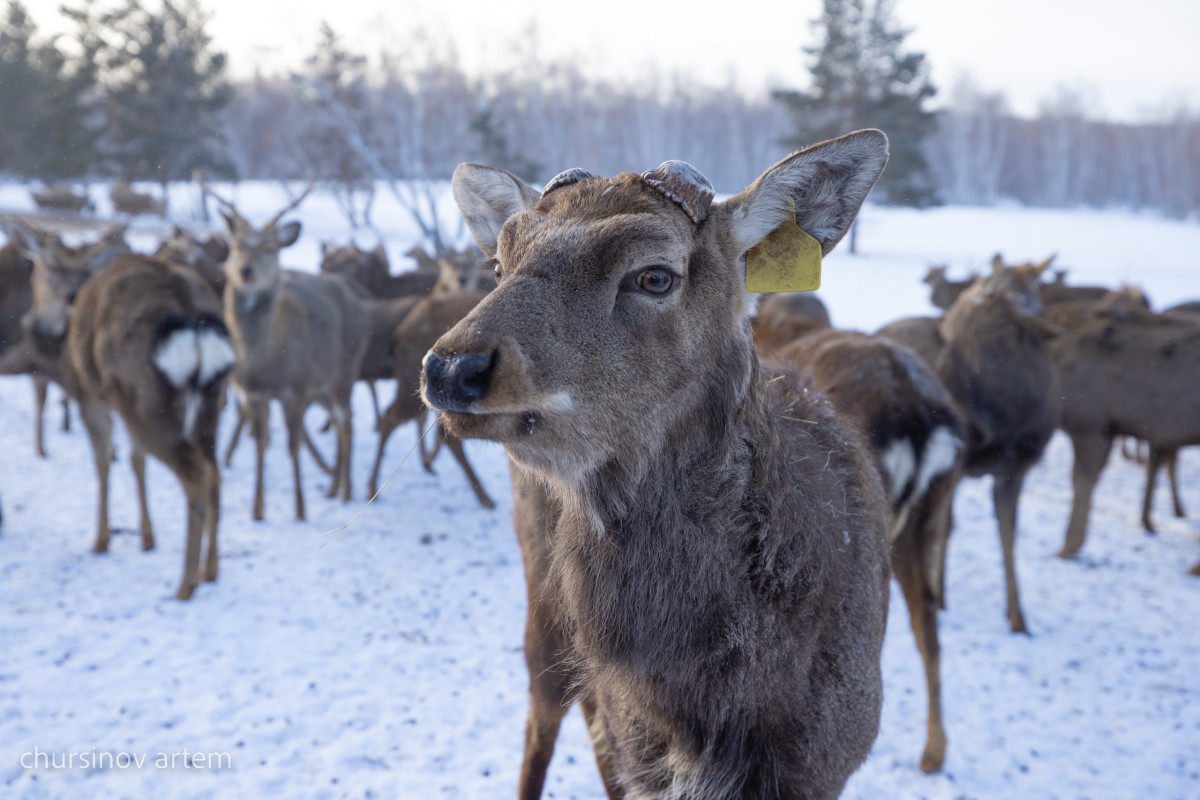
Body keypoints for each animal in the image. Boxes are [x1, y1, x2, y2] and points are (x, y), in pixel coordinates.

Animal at [10, 221, 231, 597]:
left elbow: (102, 461)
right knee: (215, 474)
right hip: (209, 403)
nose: (39, 319)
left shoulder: (89, 394)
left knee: (197, 477)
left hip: (149, 404)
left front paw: (101, 540)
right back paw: (210, 570)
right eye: (47, 268)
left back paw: (184, 585)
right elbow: (135, 460)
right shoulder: (120, 402)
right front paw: (147, 537)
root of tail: (194, 324)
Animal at [206, 182, 367, 522]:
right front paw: (257, 510)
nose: (246, 271)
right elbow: (262, 443)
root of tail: (356, 299)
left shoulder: (295, 386)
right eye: (236, 245)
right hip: (321, 384)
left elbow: (292, 446)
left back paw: (346, 491)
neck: (263, 360)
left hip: (344, 371)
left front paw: (300, 509)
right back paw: (334, 486)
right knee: (339, 423)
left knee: (346, 422)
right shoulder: (253, 392)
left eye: (270, 248)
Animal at [427, 128, 897, 796]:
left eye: (654, 276)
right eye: (498, 265)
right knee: (545, 719)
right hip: (543, 609)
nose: (450, 367)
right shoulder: (643, 753)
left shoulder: (832, 756)